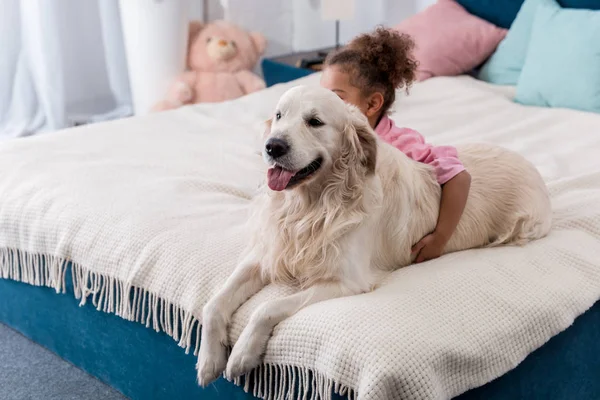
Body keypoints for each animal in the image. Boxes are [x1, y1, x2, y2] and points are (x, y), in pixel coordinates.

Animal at [196, 86, 548, 386]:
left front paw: (242, 354)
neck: (313, 206)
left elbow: (266, 308)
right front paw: (209, 360)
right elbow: (214, 303)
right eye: (280, 115)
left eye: (315, 121)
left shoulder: (347, 281)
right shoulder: (266, 254)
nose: (273, 146)